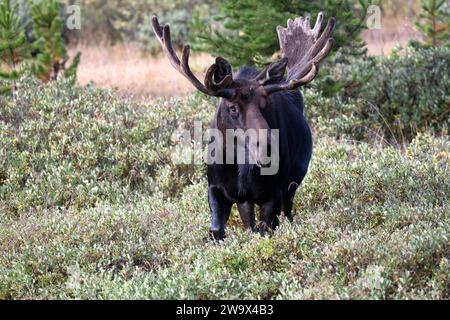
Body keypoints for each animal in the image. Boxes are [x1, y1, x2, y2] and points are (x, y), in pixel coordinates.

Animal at [151, 12, 334, 240]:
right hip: (246, 200)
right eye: (232, 107)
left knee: (287, 215)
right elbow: (217, 230)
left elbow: (265, 231)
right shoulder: (216, 188)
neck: (241, 168)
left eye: (266, 104)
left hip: (291, 186)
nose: (267, 149)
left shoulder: (274, 192)